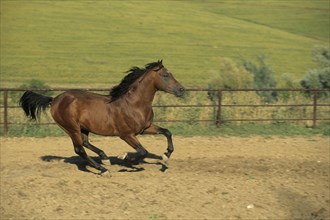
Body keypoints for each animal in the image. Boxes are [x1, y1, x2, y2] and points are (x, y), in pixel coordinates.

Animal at [20, 60, 186, 174]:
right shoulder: (126, 134)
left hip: (83, 128)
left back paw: (105, 158)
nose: (181, 90)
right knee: (79, 149)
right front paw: (124, 157)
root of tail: (54, 99)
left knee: (85, 143)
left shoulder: (145, 128)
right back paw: (103, 169)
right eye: (166, 75)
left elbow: (167, 132)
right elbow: (142, 151)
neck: (134, 104)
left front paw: (165, 156)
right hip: (71, 128)